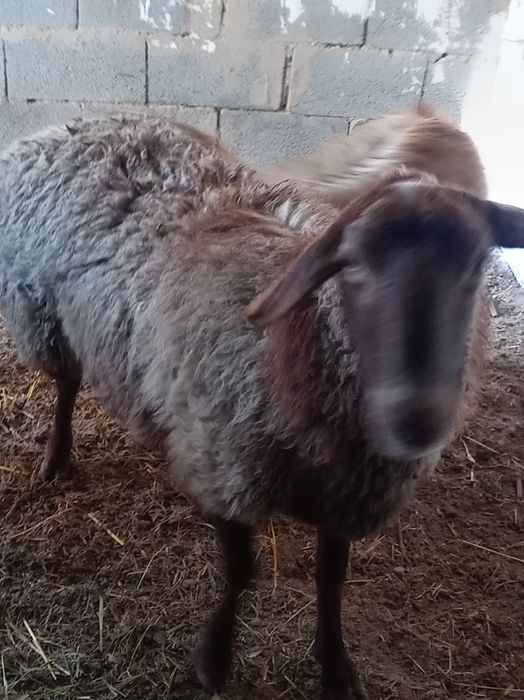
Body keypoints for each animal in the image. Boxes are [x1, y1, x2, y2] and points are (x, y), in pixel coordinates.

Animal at [1, 114, 524, 700]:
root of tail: (75, 123)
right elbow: (240, 572)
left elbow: (330, 578)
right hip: (40, 309)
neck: (291, 347)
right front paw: (214, 658)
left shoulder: (343, 494)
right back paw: (56, 458)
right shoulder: (223, 466)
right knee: (66, 384)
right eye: (354, 268)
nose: (418, 418)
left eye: (477, 264)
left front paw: (333, 663)